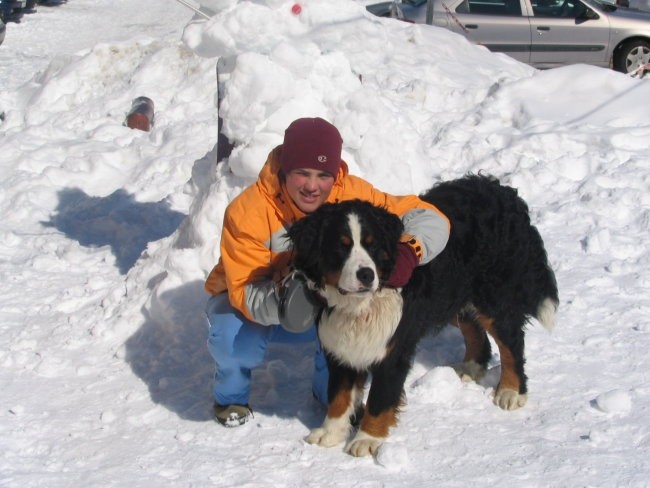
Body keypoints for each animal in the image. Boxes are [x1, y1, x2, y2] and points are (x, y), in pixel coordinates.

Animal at [286, 173, 560, 456]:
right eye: (341, 247)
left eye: (372, 246)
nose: (366, 275)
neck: (360, 305)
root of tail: (501, 190)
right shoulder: (340, 346)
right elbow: (339, 395)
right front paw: (330, 432)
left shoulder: (393, 349)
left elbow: (380, 398)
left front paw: (366, 439)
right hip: (453, 293)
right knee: (474, 330)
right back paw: (471, 367)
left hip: (492, 295)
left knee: (511, 342)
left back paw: (511, 391)